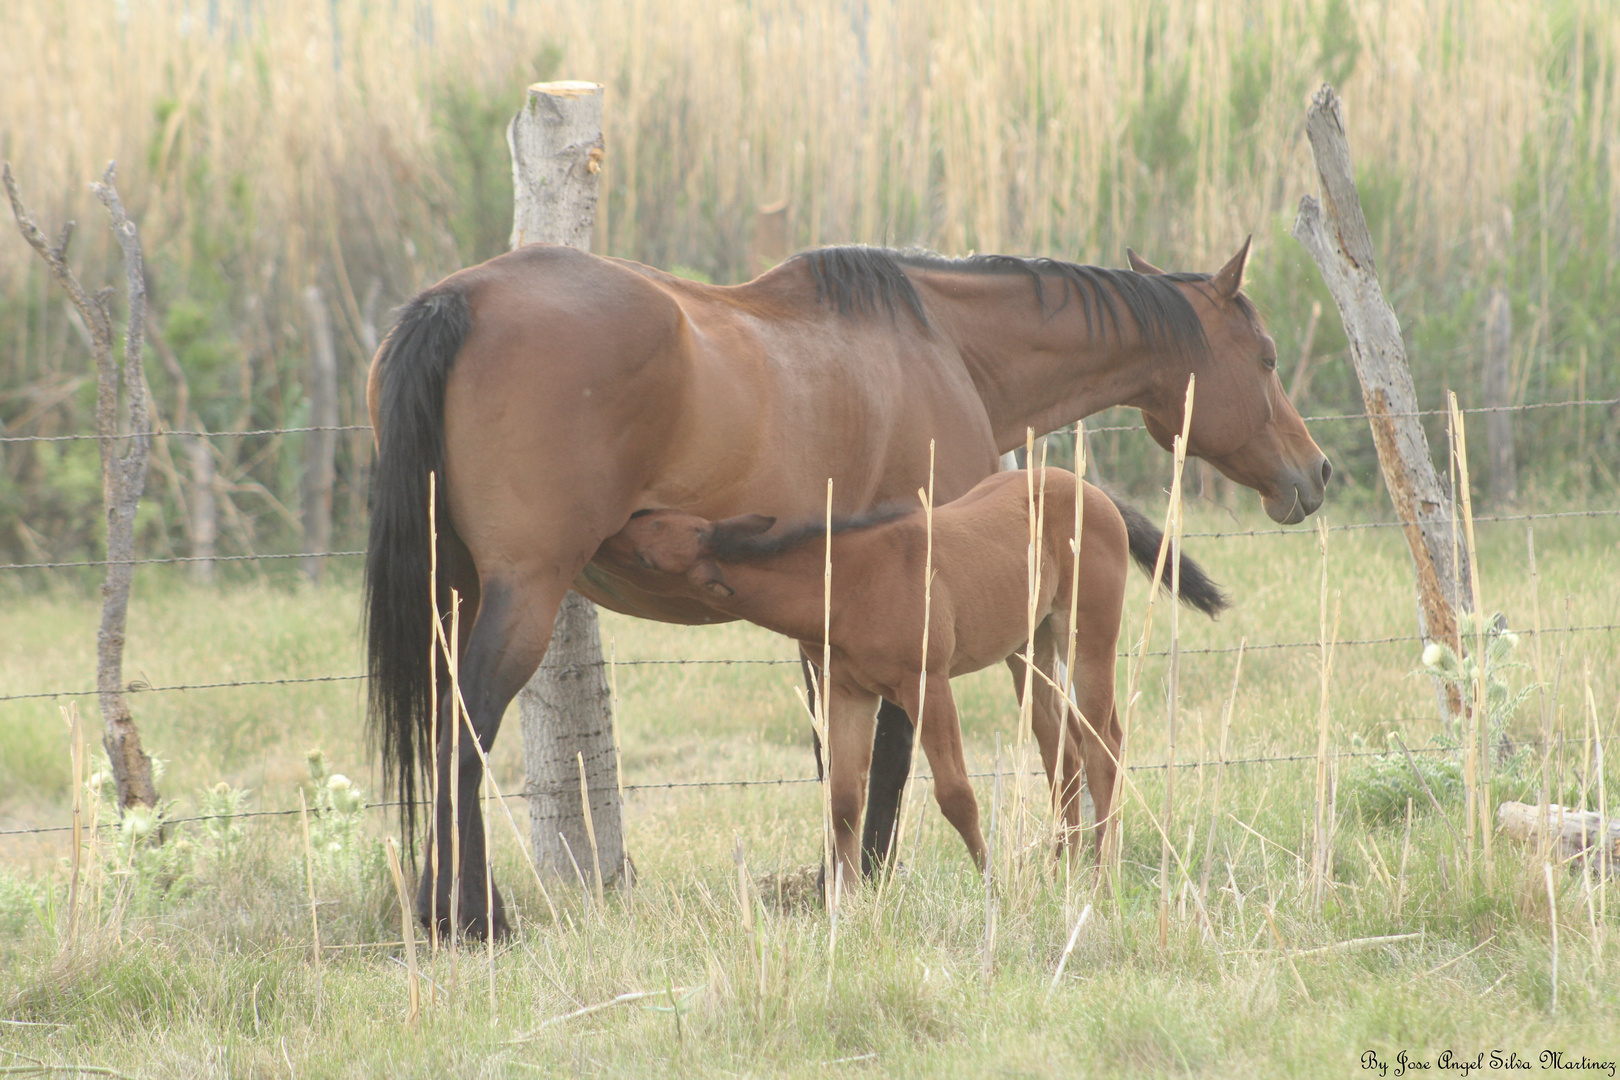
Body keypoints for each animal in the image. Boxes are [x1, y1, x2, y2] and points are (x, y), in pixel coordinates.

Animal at [599, 469, 1224, 887]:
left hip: (1087, 635)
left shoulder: (927, 682)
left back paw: (1100, 873)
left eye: (651, 542)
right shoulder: (846, 691)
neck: (846, 583)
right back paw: (1060, 870)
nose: (607, 532)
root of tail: (1095, 493)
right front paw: (847, 905)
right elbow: (843, 800)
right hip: (1029, 648)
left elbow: (955, 794)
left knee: (1103, 743)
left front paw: (992, 884)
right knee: (1060, 747)